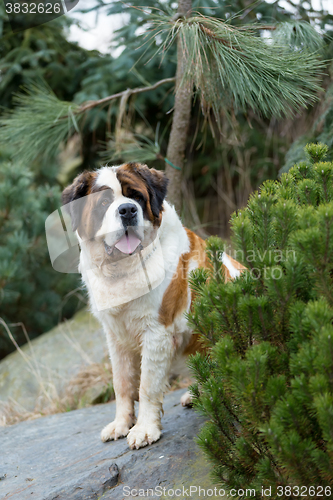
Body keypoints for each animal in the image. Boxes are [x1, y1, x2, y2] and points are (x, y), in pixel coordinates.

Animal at [62, 163, 244, 450]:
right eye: (104, 203)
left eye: (136, 197)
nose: (127, 210)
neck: (122, 269)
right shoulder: (115, 337)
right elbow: (122, 383)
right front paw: (121, 424)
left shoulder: (156, 332)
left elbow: (147, 385)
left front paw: (145, 429)